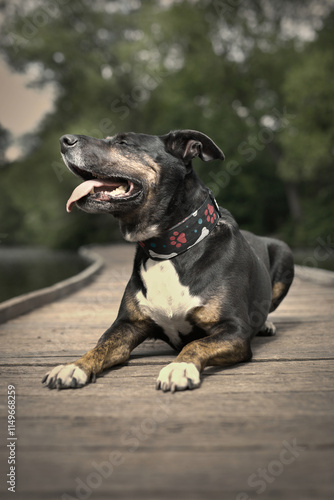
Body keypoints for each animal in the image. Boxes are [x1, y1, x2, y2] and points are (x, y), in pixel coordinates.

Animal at [42, 131, 294, 392]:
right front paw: (74, 366)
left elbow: (195, 344)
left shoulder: (234, 329)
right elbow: (100, 346)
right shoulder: (126, 325)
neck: (169, 249)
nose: (65, 140)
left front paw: (179, 367)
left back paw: (266, 324)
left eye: (123, 142)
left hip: (284, 253)